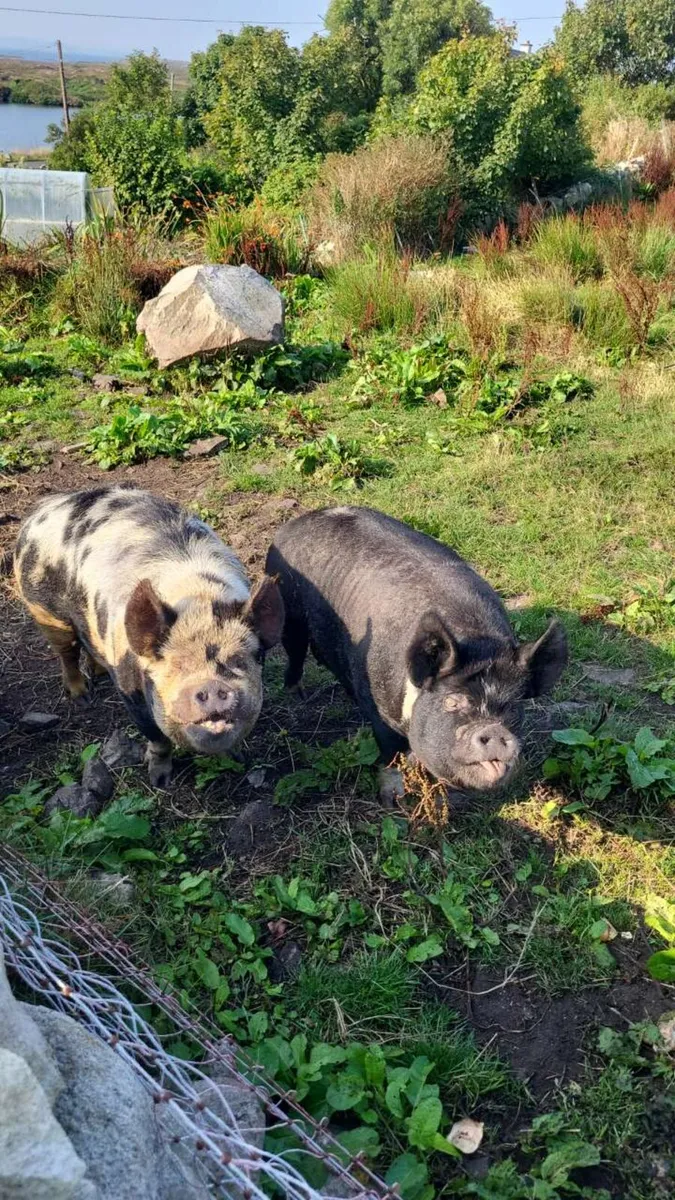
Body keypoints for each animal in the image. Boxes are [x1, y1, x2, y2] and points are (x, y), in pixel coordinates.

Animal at [14, 487, 284, 787]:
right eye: (177, 665)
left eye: (239, 660)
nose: (213, 686)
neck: (198, 600)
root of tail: (43, 508)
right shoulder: (131, 690)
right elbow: (157, 737)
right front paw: (159, 780)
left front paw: (238, 760)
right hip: (43, 609)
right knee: (67, 651)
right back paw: (81, 697)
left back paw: (97, 674)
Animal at [266, 506, 567, 793]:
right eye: (451, 702)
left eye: (513, 707)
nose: (493, 729)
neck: (476, 637)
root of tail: (296, 523)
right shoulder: (381, 713)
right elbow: (389, 754)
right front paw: (395, 798)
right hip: (287, 609)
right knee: (295, 651)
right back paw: (296, 694)